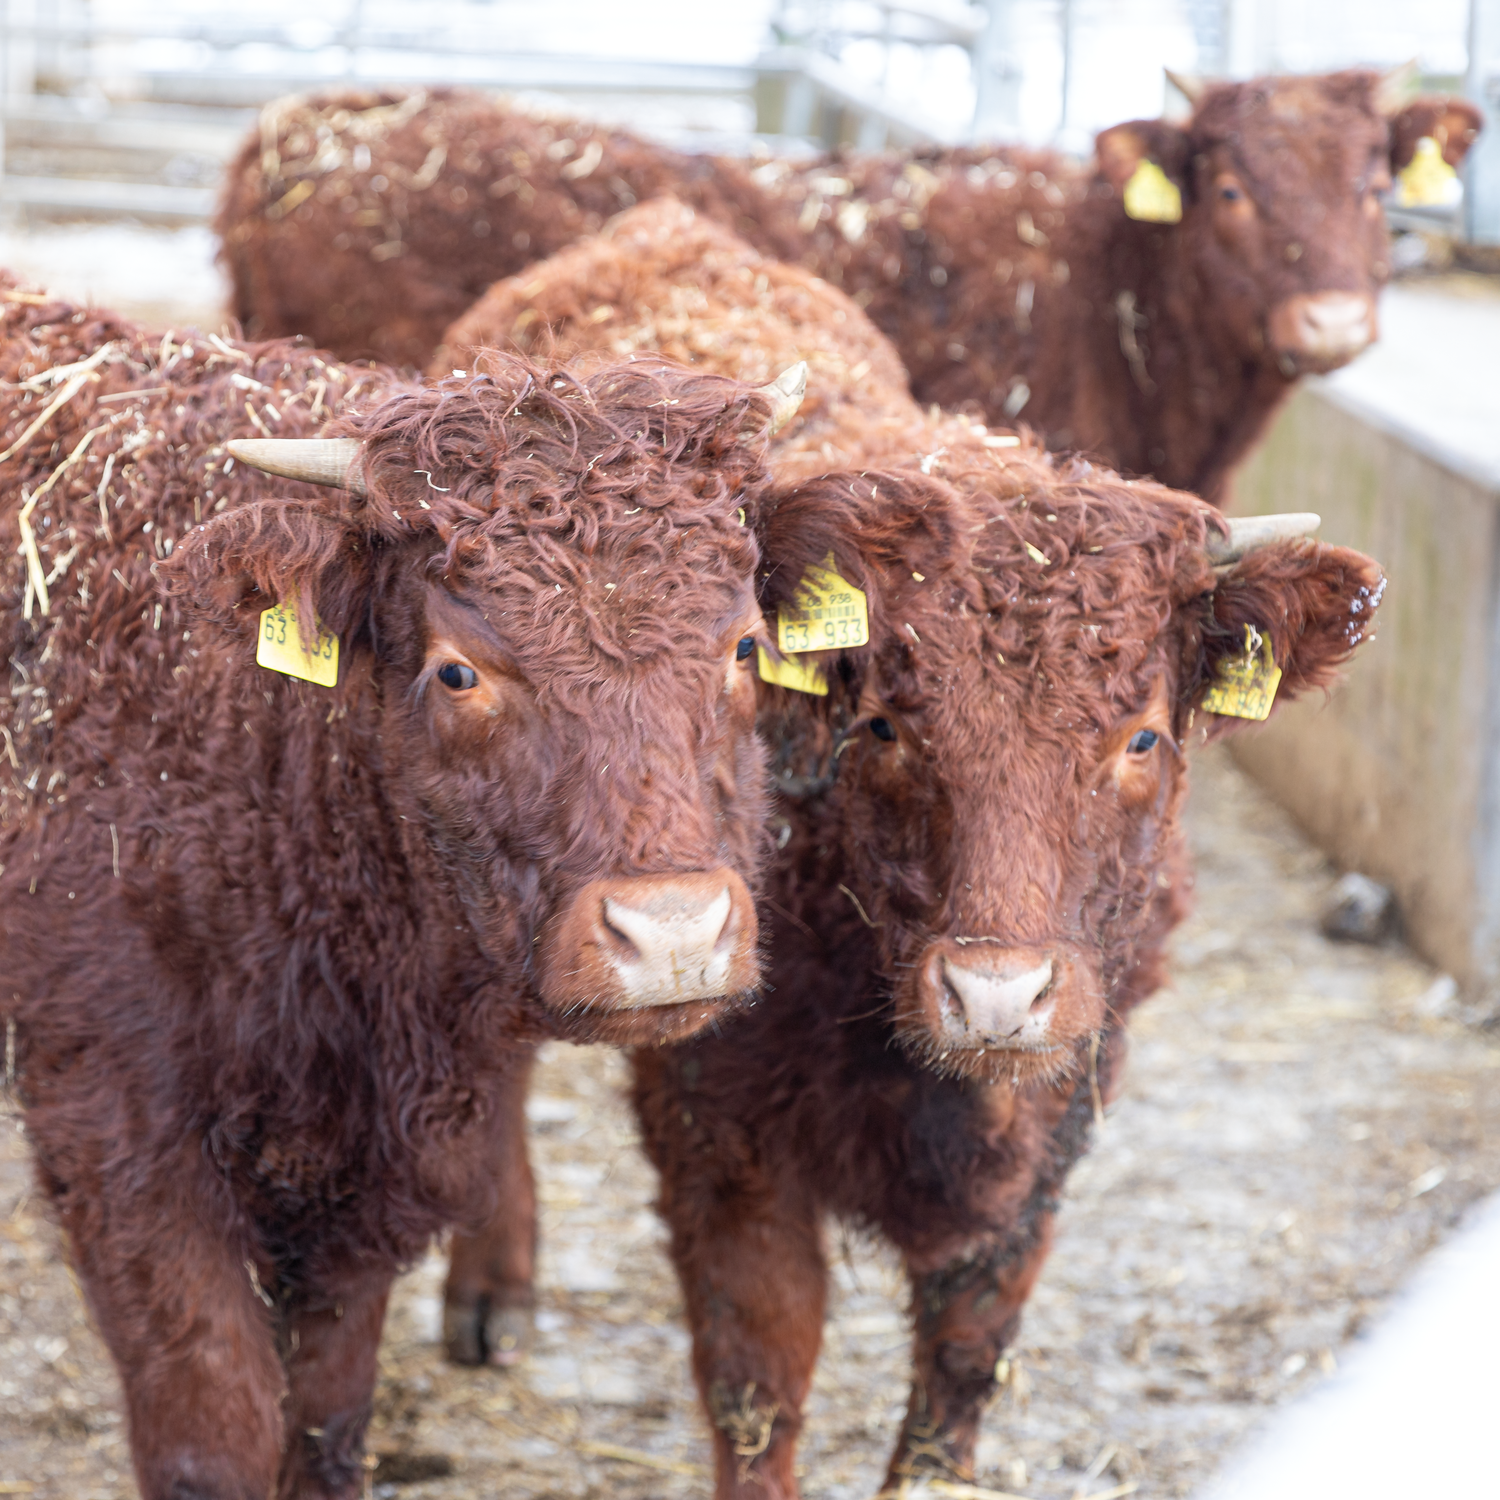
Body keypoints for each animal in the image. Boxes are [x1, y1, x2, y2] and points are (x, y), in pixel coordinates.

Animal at [0, 283, 822, 1500]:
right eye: (458, 669)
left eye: (742, 647)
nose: (674, 932)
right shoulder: (118, 1137)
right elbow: (215, 1428)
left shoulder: (379, 1168)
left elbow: (326, 1418)